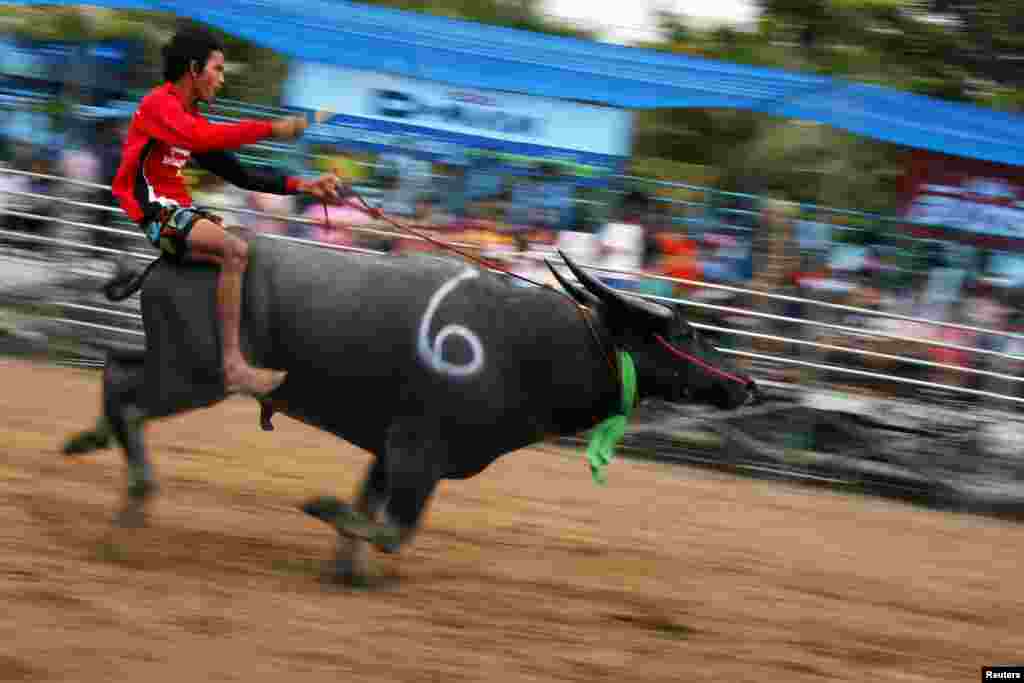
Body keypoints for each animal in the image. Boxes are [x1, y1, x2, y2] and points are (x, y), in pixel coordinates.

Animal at [61, 232, 753, 585]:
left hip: (173, 365)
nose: (747, 384)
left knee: (116, 368)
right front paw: (323, 511)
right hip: (195, 377)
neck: (527, 344)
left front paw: (343, 564)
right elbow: (393, 529)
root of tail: (168, 255)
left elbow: (375, 514)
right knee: (129, 398)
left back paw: (88, 444)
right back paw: (134, 500)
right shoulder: (419, 451)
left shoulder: (390, 449)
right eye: (684, 333)